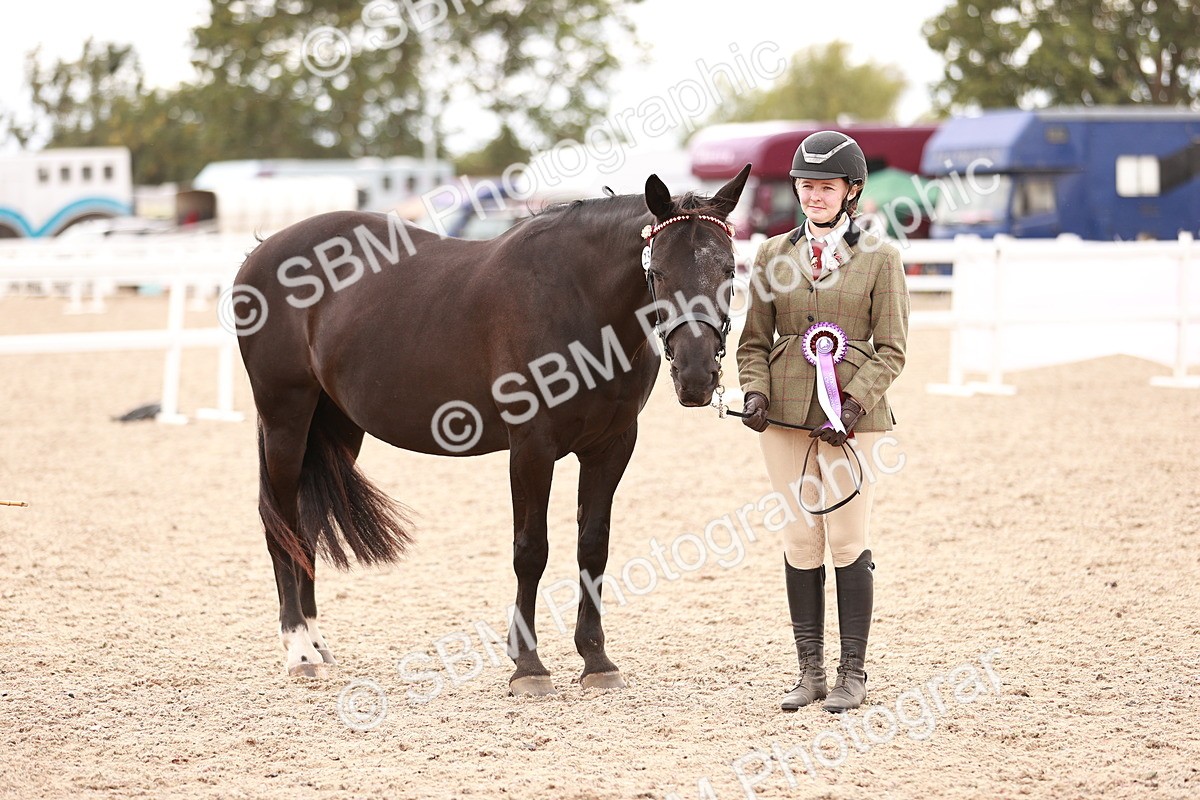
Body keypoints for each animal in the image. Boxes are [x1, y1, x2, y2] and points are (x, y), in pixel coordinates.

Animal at [234, 164, 751, 695]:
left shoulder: (611, 447)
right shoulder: (531, 447)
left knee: (307, 525)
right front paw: (528, 665)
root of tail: (262, 252)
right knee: (280, 525)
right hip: (285, 421)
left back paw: (316, 643)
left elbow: (593, 547)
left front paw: (596, 659)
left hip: (336, 428)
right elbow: (531, 550)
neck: (577, 300)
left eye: (729, 271)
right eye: (657, 272)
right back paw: (298, 649)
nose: (696, 374)